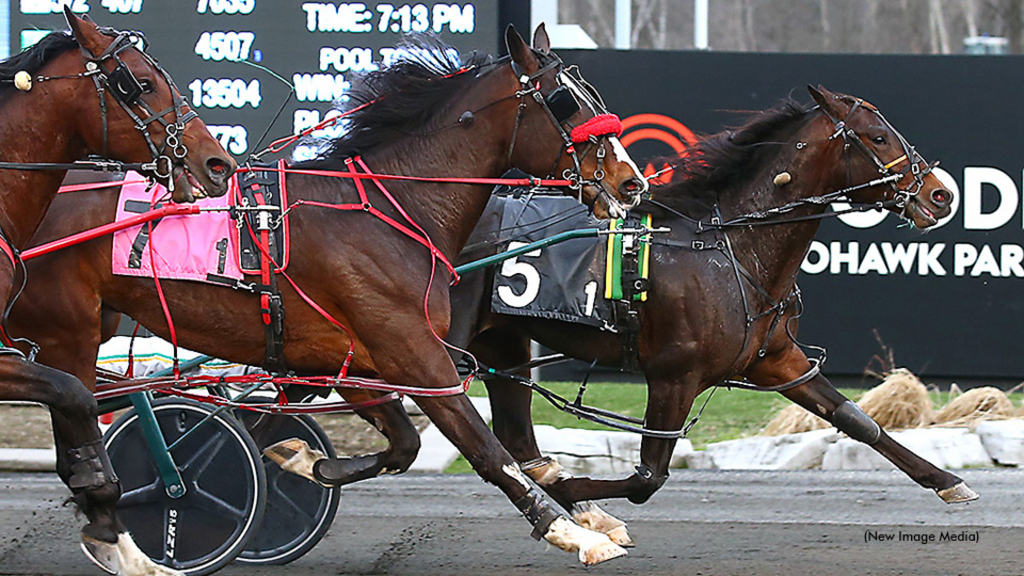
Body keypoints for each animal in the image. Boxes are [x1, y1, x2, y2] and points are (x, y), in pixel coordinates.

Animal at [440, 85, 966, 537]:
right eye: (877, 136)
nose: (941, 194)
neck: (730, 245)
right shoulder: (674, 375)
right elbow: (648, 477)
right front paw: (574, 491)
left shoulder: (775, 359)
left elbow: (857, 419)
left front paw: (947, 481)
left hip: (502, 342)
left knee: (514, 435)